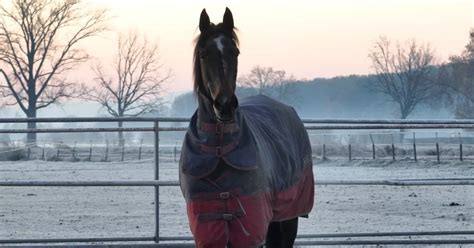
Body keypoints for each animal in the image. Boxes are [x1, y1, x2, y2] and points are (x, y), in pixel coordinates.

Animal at [178, 7, 314, 246]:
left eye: (235, 52)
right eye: (204, 54)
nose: (225, 105)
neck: (220, 149)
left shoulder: (251, 226)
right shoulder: (208, 230)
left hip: (289, 215)